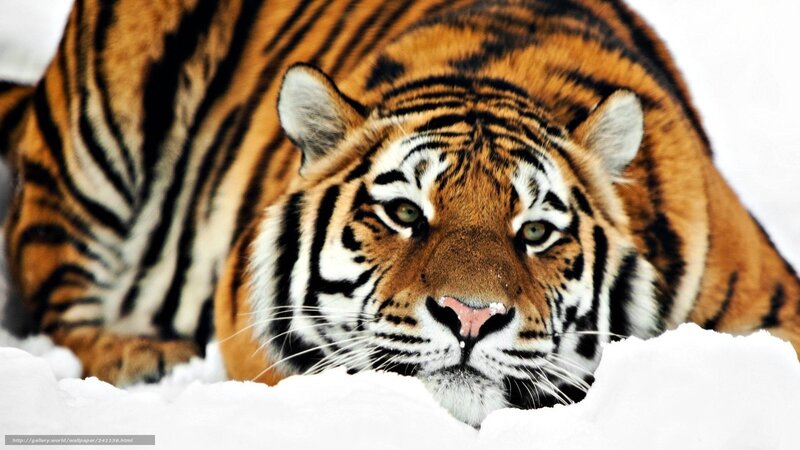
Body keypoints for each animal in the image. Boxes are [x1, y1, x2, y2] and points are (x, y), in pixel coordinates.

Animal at [1, 0, 798, 426]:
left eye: (537, 231)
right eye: (406, 213)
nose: (471, 316)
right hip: (95, 136)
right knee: (56, 291)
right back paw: (140, 355)